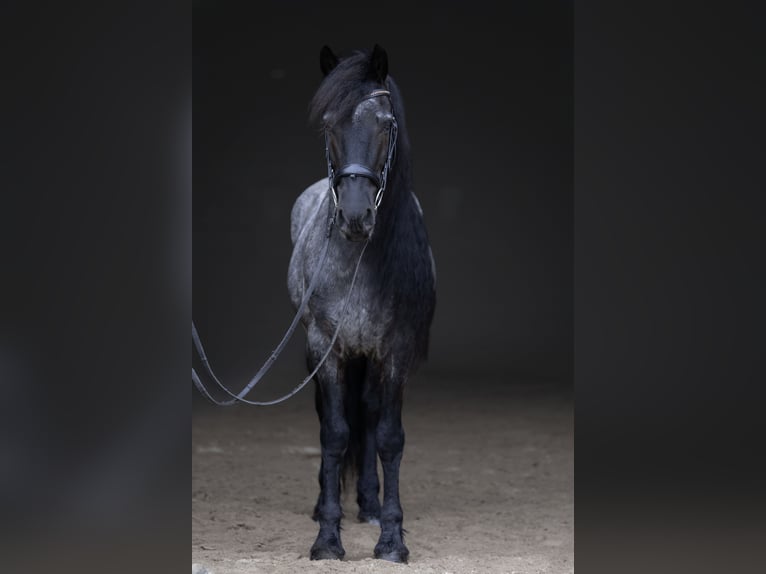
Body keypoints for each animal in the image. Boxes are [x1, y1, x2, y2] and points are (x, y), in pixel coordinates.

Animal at [287, 44, 436, 563]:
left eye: (386, 124)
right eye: (329, 123)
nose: (355, 216)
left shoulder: (395, 351)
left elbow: (388, 437)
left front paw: (391, 539)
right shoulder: (326, 348)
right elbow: (333, 433)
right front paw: (327, 539)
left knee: (369, 417)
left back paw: (369, 505)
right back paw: (321, 504)